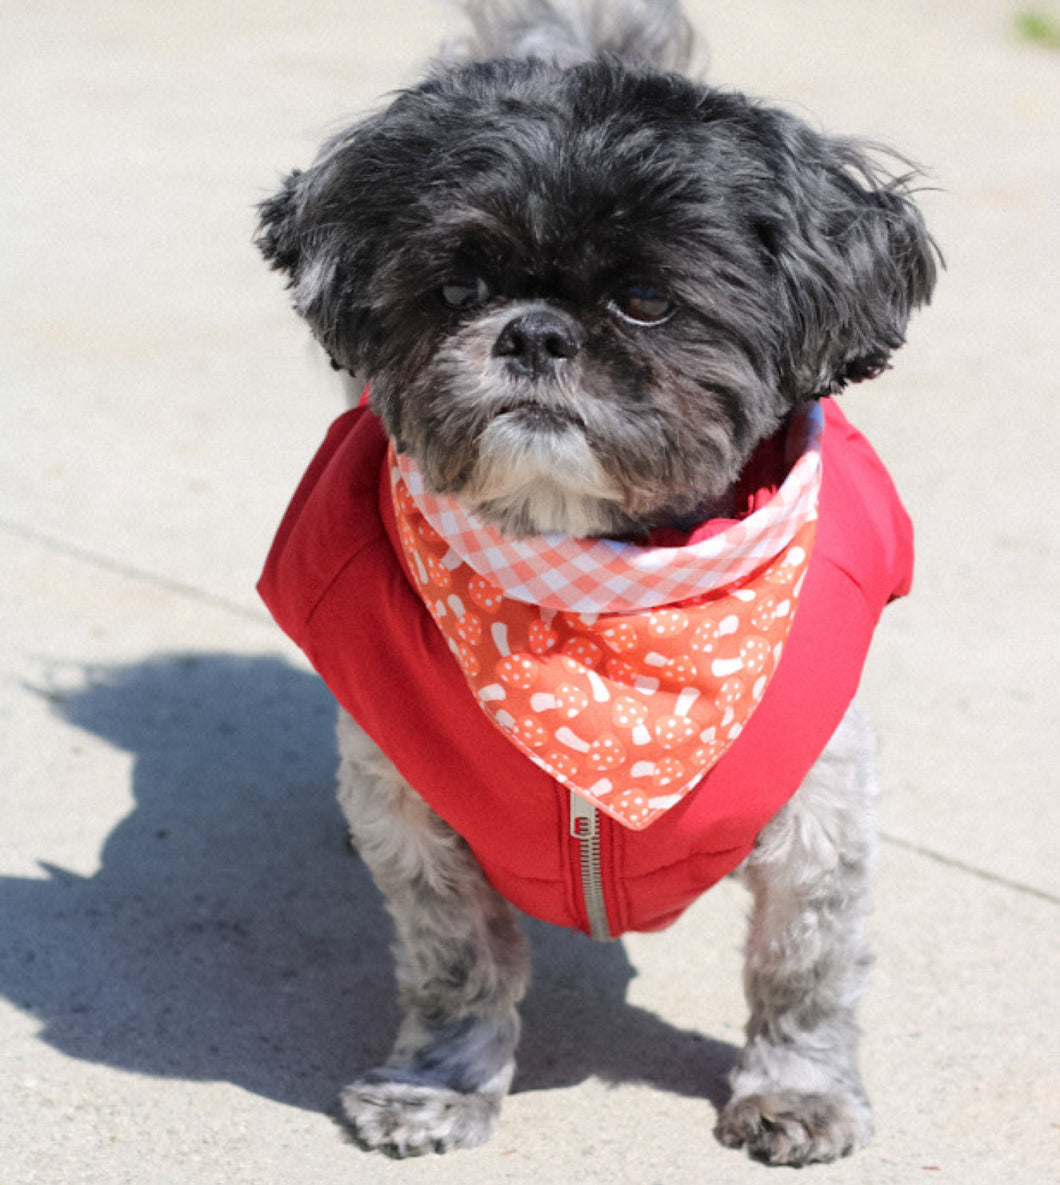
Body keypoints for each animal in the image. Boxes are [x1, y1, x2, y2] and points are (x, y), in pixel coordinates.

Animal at [254, 0, 938, 1166]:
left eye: (648, 298)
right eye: (458, 288)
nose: (533, 331)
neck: (591, 600)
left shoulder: (821, 813)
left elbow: (802, 970)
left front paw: (798, 1092)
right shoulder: (417, 823)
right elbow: (455, 963)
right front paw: (439, 1087)